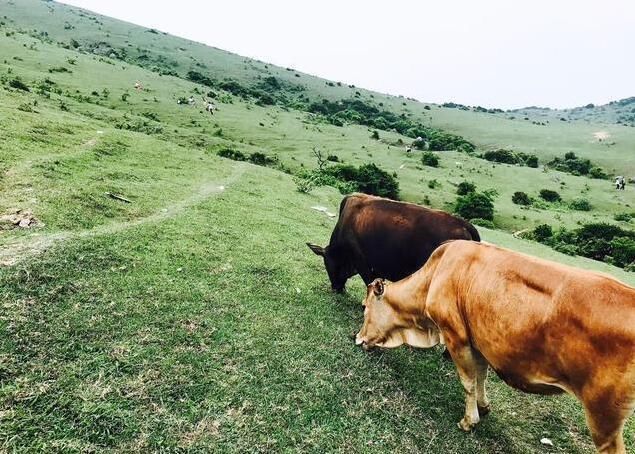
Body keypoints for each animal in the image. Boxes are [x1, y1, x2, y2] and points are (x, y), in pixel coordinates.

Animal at [358, 239, 635, 452]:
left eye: (365, 307)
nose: (358, 338)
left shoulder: (456, 336)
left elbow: (468, 381)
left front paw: (468, 421)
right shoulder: (478, 340)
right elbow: (481, 375)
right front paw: (483, 406)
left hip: (604, 418)